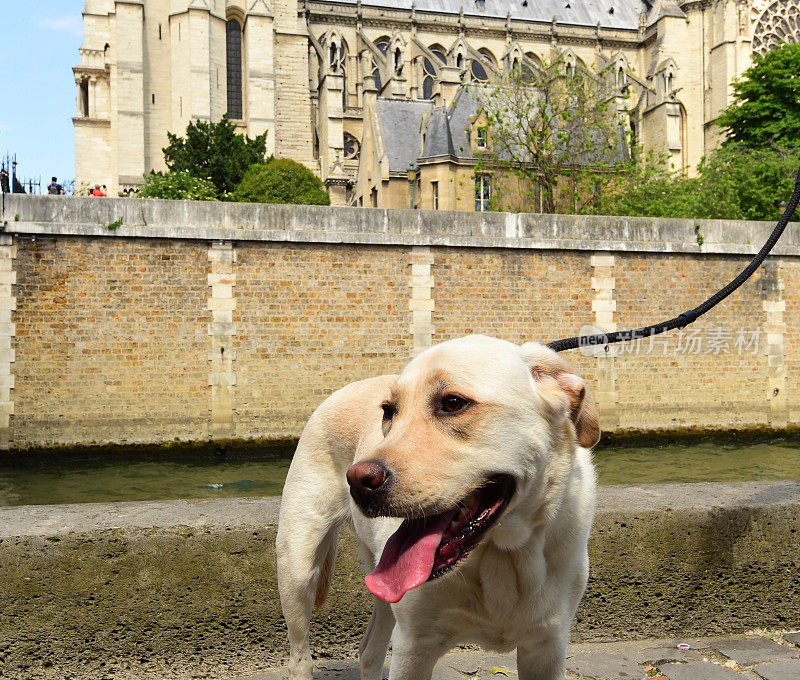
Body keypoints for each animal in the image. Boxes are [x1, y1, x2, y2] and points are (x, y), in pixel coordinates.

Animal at [278, 336, 596, 680]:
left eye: (453, 403)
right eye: (388, 412)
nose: (359, 481)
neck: (501, 555)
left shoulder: (546, 648)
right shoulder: (414, 647)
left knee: (369, 651)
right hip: (298, 569)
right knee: (301, 658)